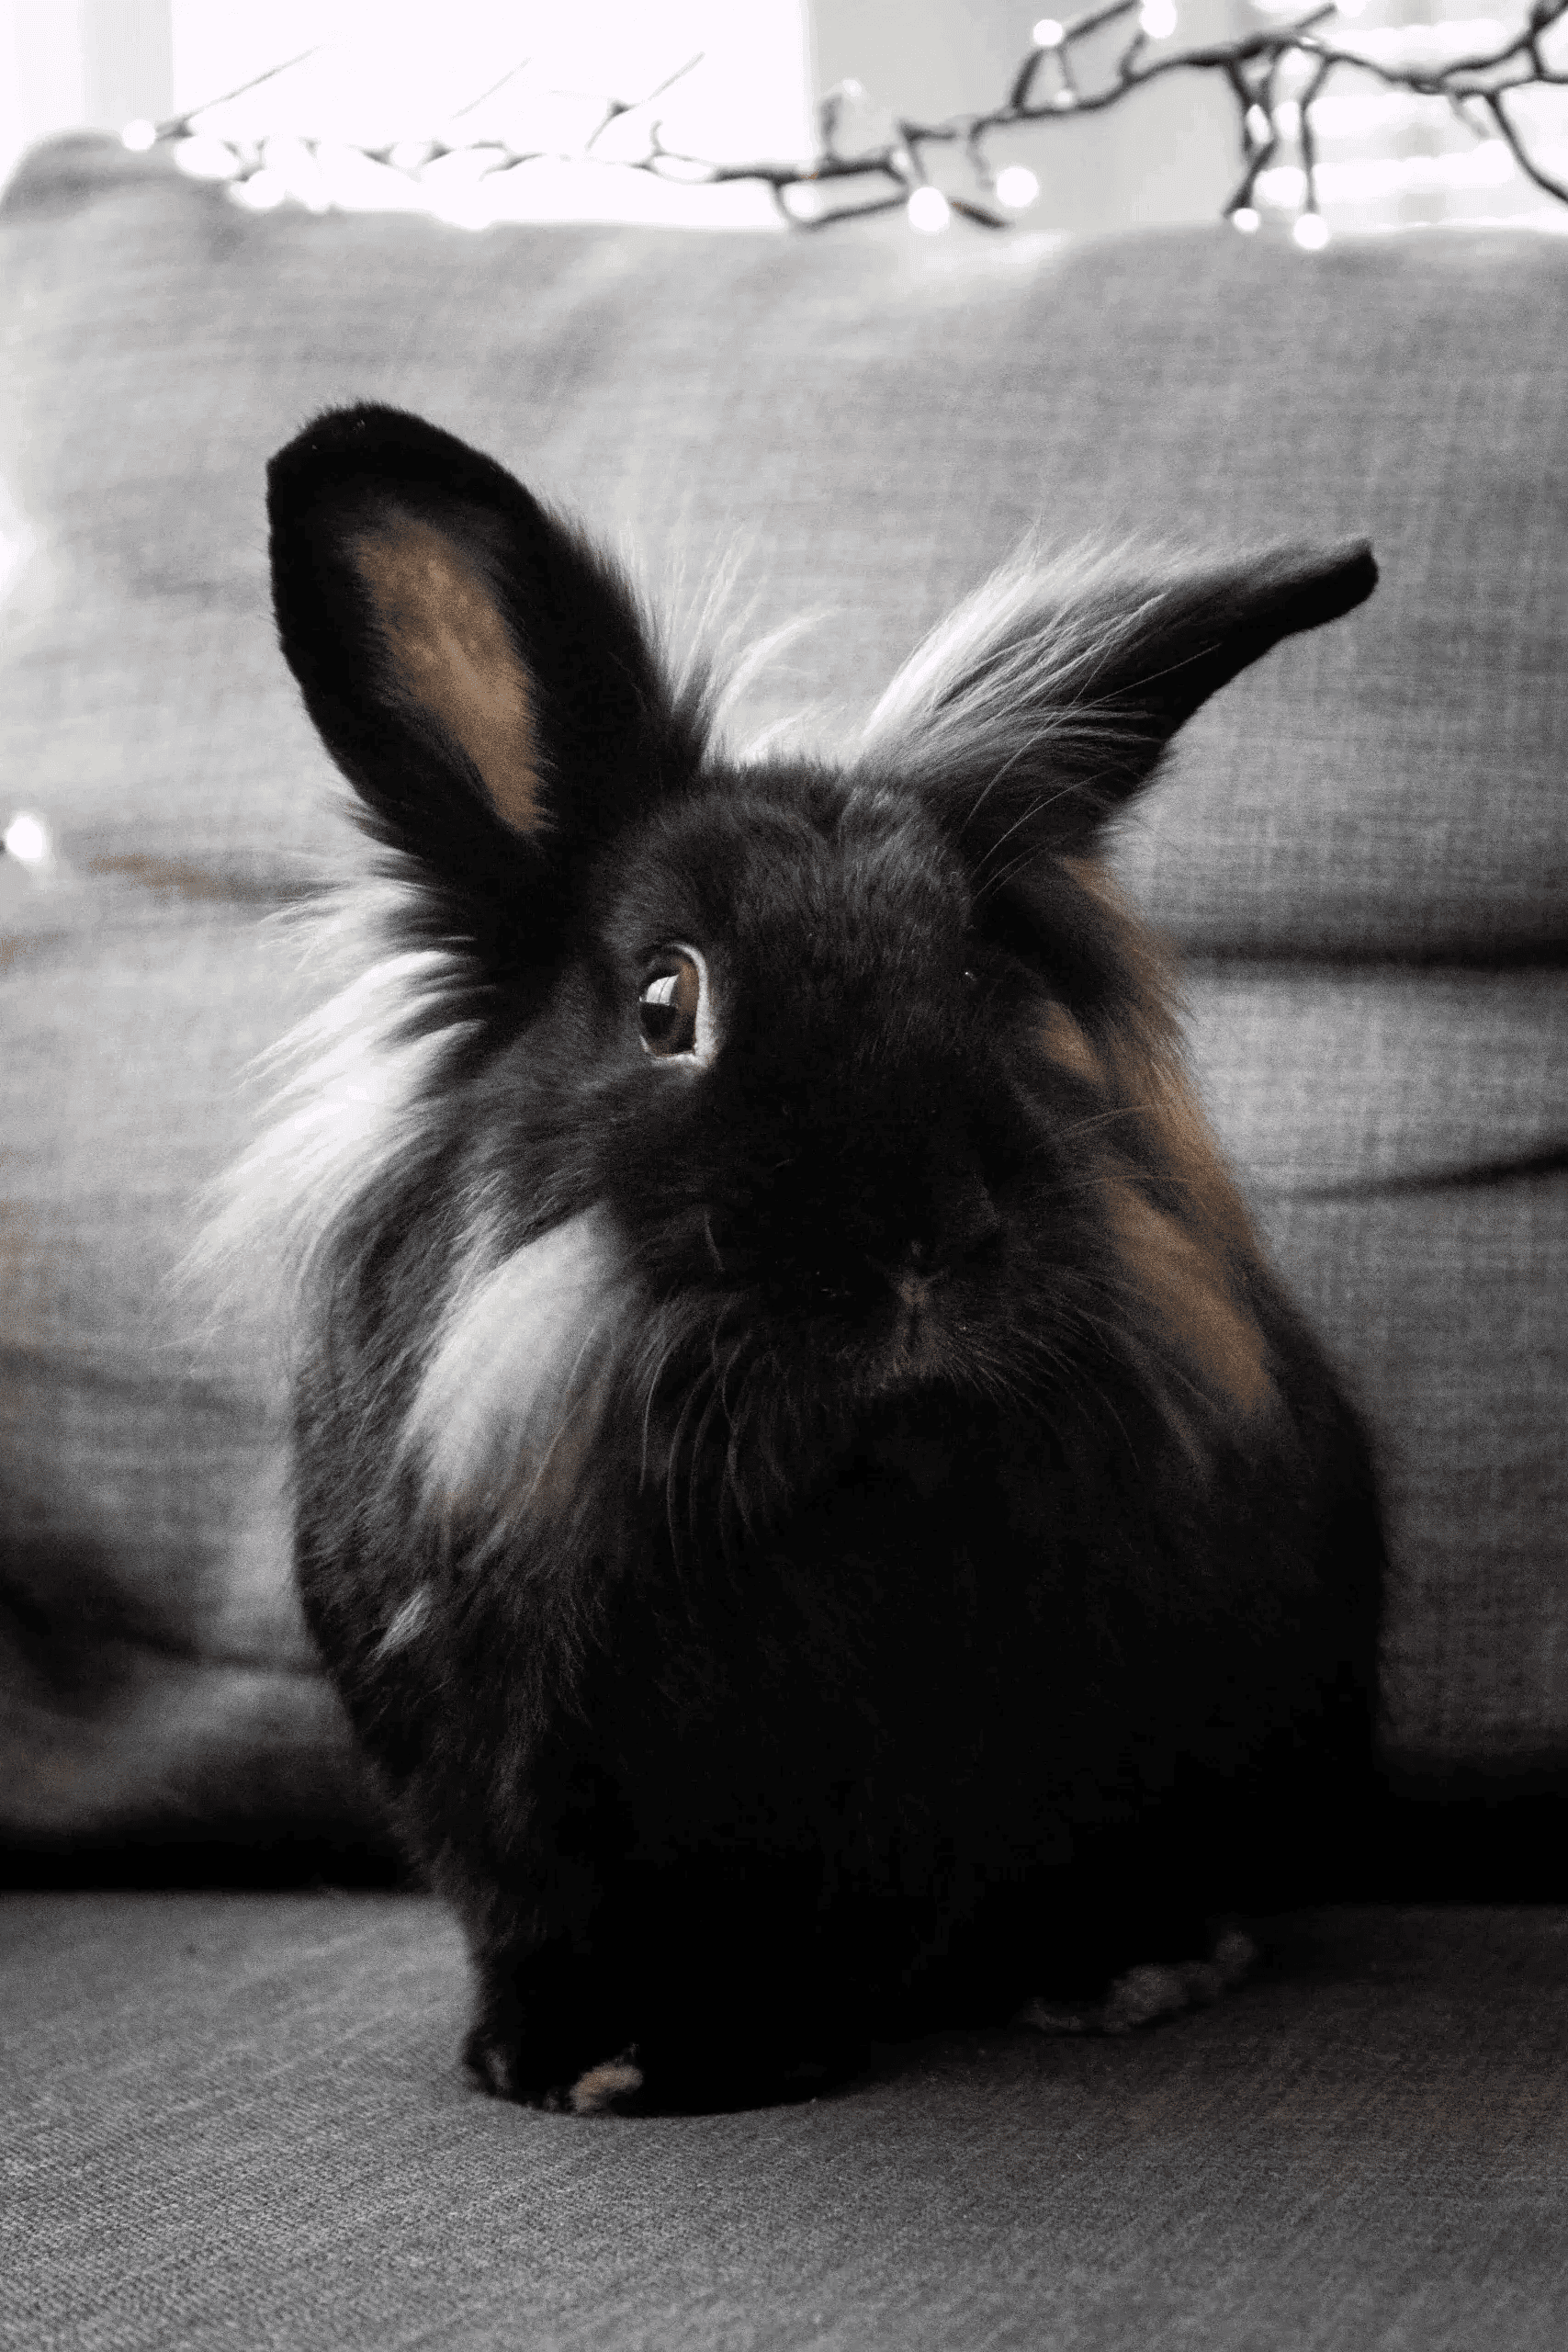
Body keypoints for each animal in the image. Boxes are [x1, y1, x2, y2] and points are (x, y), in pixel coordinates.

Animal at [234, 401, 1386, 2114]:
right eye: (666, 1001)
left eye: (977, 979)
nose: (920, 1246)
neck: (831, 1481)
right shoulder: (504, 1802)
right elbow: (553, 1924)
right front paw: (593, 2062)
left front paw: (1103, 1978)